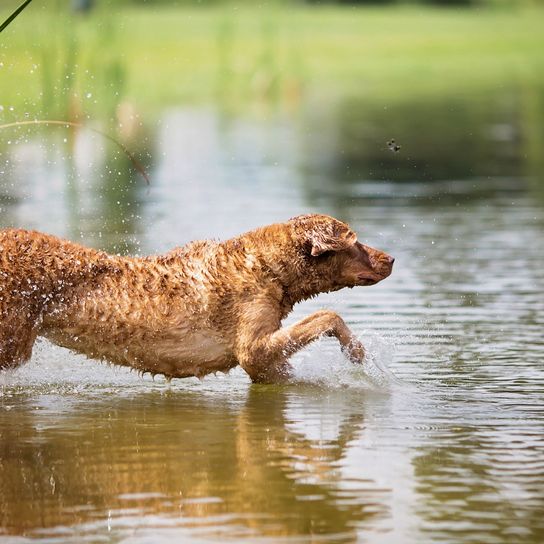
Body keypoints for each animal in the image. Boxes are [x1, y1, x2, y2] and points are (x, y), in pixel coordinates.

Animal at [0, 212, 392, 382]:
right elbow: (327, 315)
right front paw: (357, 352)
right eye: (355, 241)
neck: (270, 269)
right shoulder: (253, 351)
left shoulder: (266, 365)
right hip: (13, 344)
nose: (390, 259)